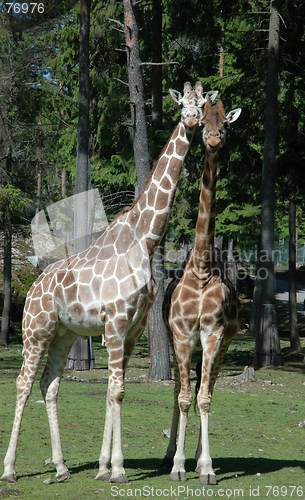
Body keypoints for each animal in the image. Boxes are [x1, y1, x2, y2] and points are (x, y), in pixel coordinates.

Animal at [1, 82, 216, 484]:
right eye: (182, 104)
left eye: (203, 104)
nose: (193, 120)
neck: (145, 240)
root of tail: (33, 288)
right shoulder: (115, 321)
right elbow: (115, 391)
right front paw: (116, 470)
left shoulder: (133, 327)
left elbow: (116, 390)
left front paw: (105, 467)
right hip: (35, 330)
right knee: (23, 383)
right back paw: (9, 469)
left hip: (63, 333)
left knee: (48, 383)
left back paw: (61, 467)